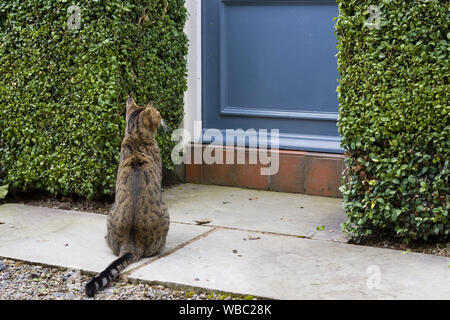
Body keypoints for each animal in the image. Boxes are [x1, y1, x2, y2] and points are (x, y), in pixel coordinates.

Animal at [85, 97, 170, 298]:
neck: (136, 137)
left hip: (110, 212)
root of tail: (131, 245)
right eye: (158, 114)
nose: (162, 117)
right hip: (165, 211)